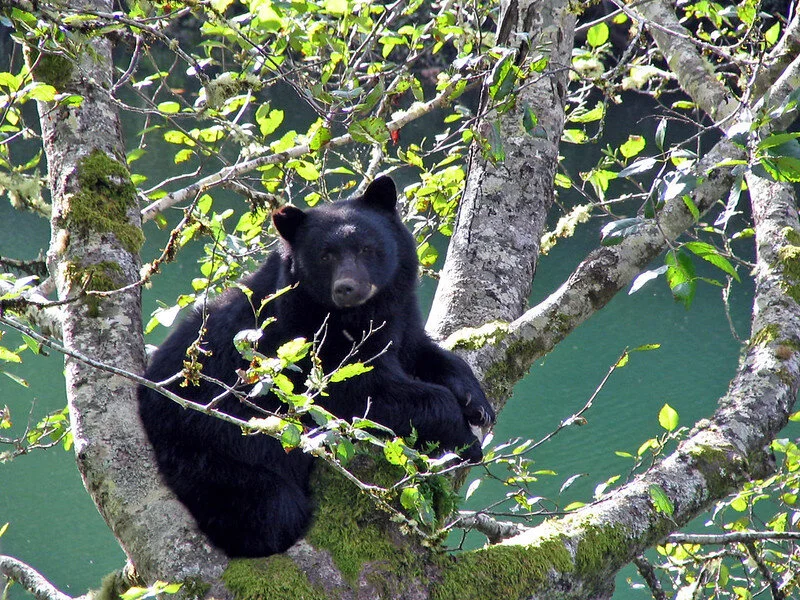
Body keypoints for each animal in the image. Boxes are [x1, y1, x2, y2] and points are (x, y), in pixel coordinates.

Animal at [137, 176, 495, 557]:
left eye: (367, 248)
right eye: (325, 255)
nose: (346, 288)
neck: (356, 315)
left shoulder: (400, 316)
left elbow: (423, 351)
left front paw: (477, 403)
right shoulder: (308, 342)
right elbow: (363, 391)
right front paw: (464, 440)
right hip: (212, 454)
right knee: (271, 506)